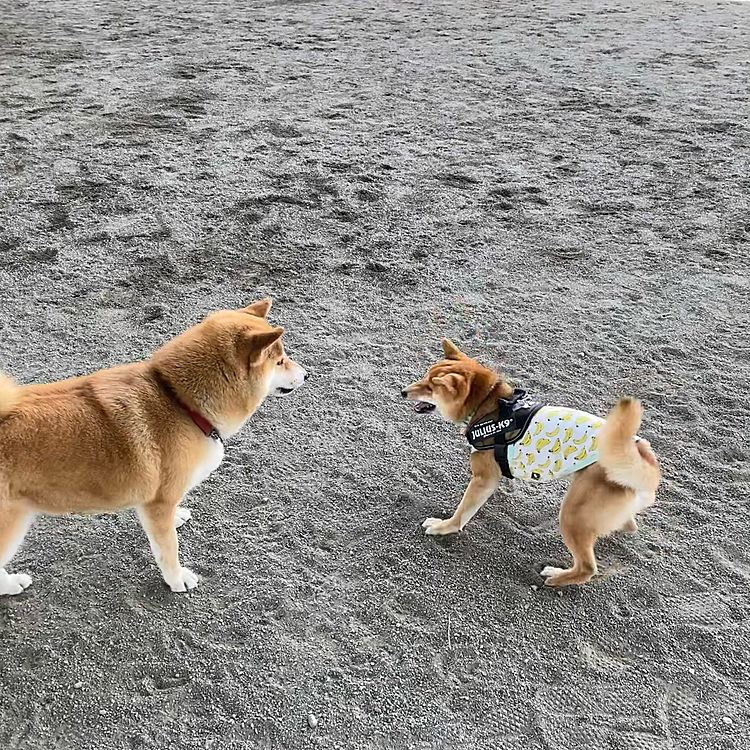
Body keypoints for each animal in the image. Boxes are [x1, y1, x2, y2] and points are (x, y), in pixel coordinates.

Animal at [0, 300, 306, 600]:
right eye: (280, 361)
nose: (307, 373)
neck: (179, 402)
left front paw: (178, 515)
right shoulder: (158, 505)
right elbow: (169, 550)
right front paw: (176, 579)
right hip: (11, 524)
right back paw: (11, 584)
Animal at [402, 340, 660, 588]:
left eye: (430, 387)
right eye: (425, 377)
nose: (403, 392)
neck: (486, 404)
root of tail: (642, 454)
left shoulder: (483, 479)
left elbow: (462, 512)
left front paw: (444, 526)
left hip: (572, 514)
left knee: (587, 567)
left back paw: (556, 577)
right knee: (628, 526)